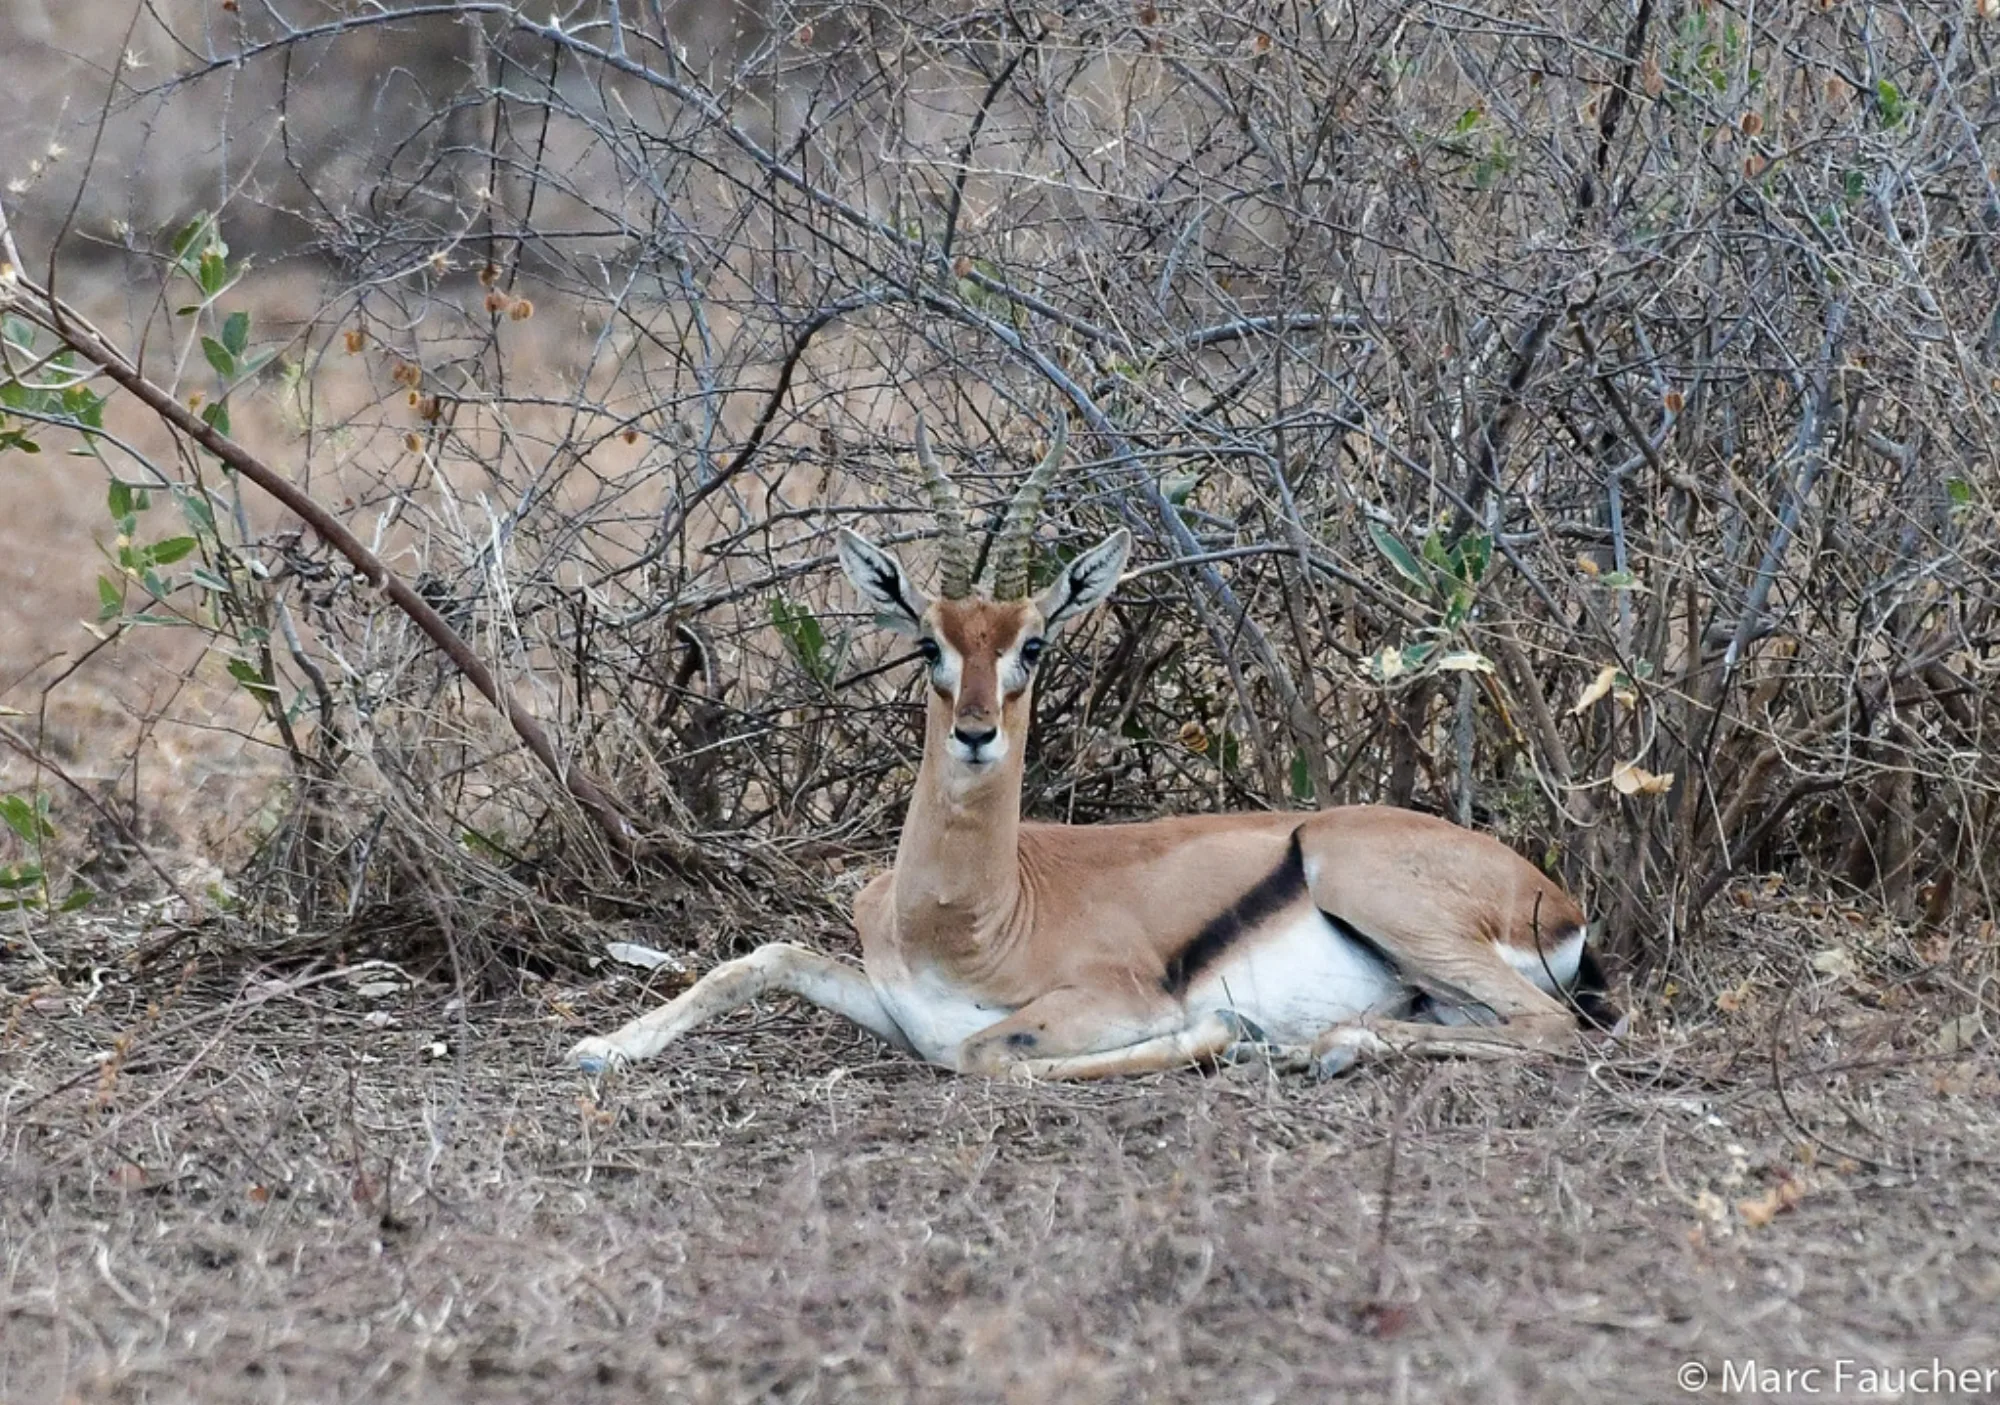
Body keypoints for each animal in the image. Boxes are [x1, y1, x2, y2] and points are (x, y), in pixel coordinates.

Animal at [572, 418, 1608, 1081]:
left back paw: (1318, 1047)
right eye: (928, 641)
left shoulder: (1111, 1000)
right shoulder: (887, 991)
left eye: (1033, 643)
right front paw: (602, 1047)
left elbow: (984, 1051)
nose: (977, 733)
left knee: (1557, 1027)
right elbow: (763, 956)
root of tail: (1554, 898)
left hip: (1372, 891)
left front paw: (1219, 1033)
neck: (971, 918)